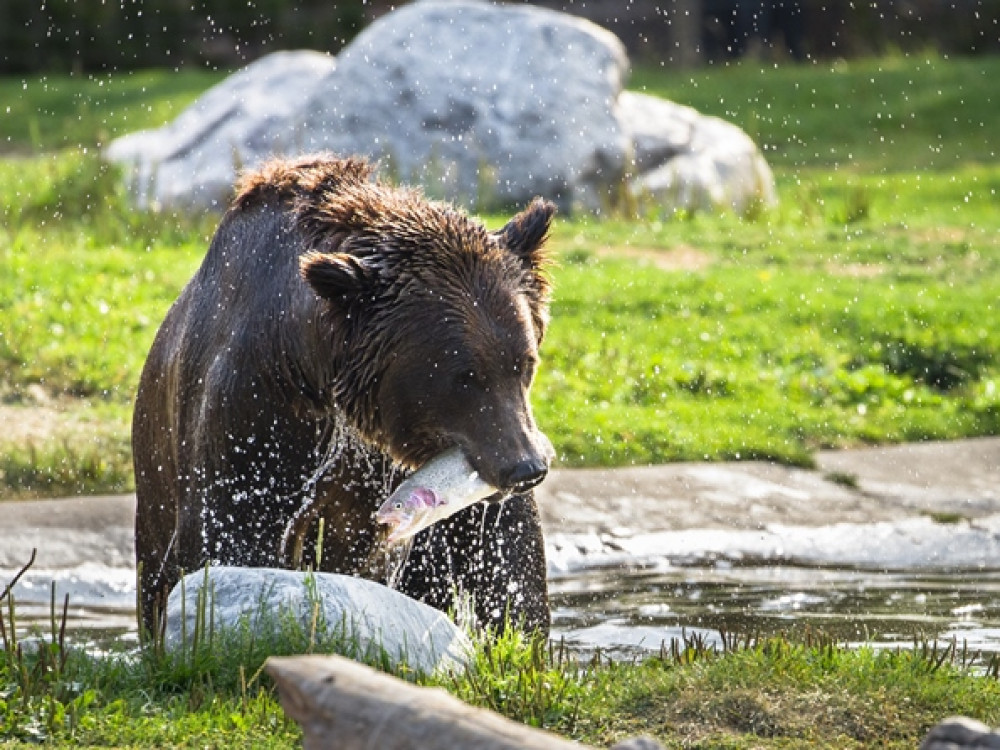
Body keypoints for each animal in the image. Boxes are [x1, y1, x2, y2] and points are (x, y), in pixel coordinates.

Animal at [131, 156, 556, 636]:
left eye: (524, 362)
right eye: (464, 377)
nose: (527, 468)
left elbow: (505, 558)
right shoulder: (252, 412)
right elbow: (230, 531)